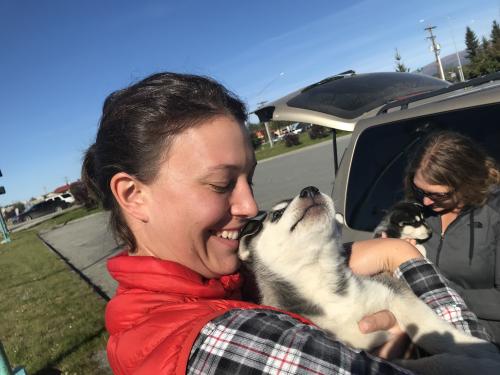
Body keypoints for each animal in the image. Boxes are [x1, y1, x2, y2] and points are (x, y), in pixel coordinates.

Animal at [238, 187, 496, 368]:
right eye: (277, 214)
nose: (310, 189)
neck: (324, 284)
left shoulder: (393, 292)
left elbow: (435, 331)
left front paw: (480, 349)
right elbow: (432, 364)